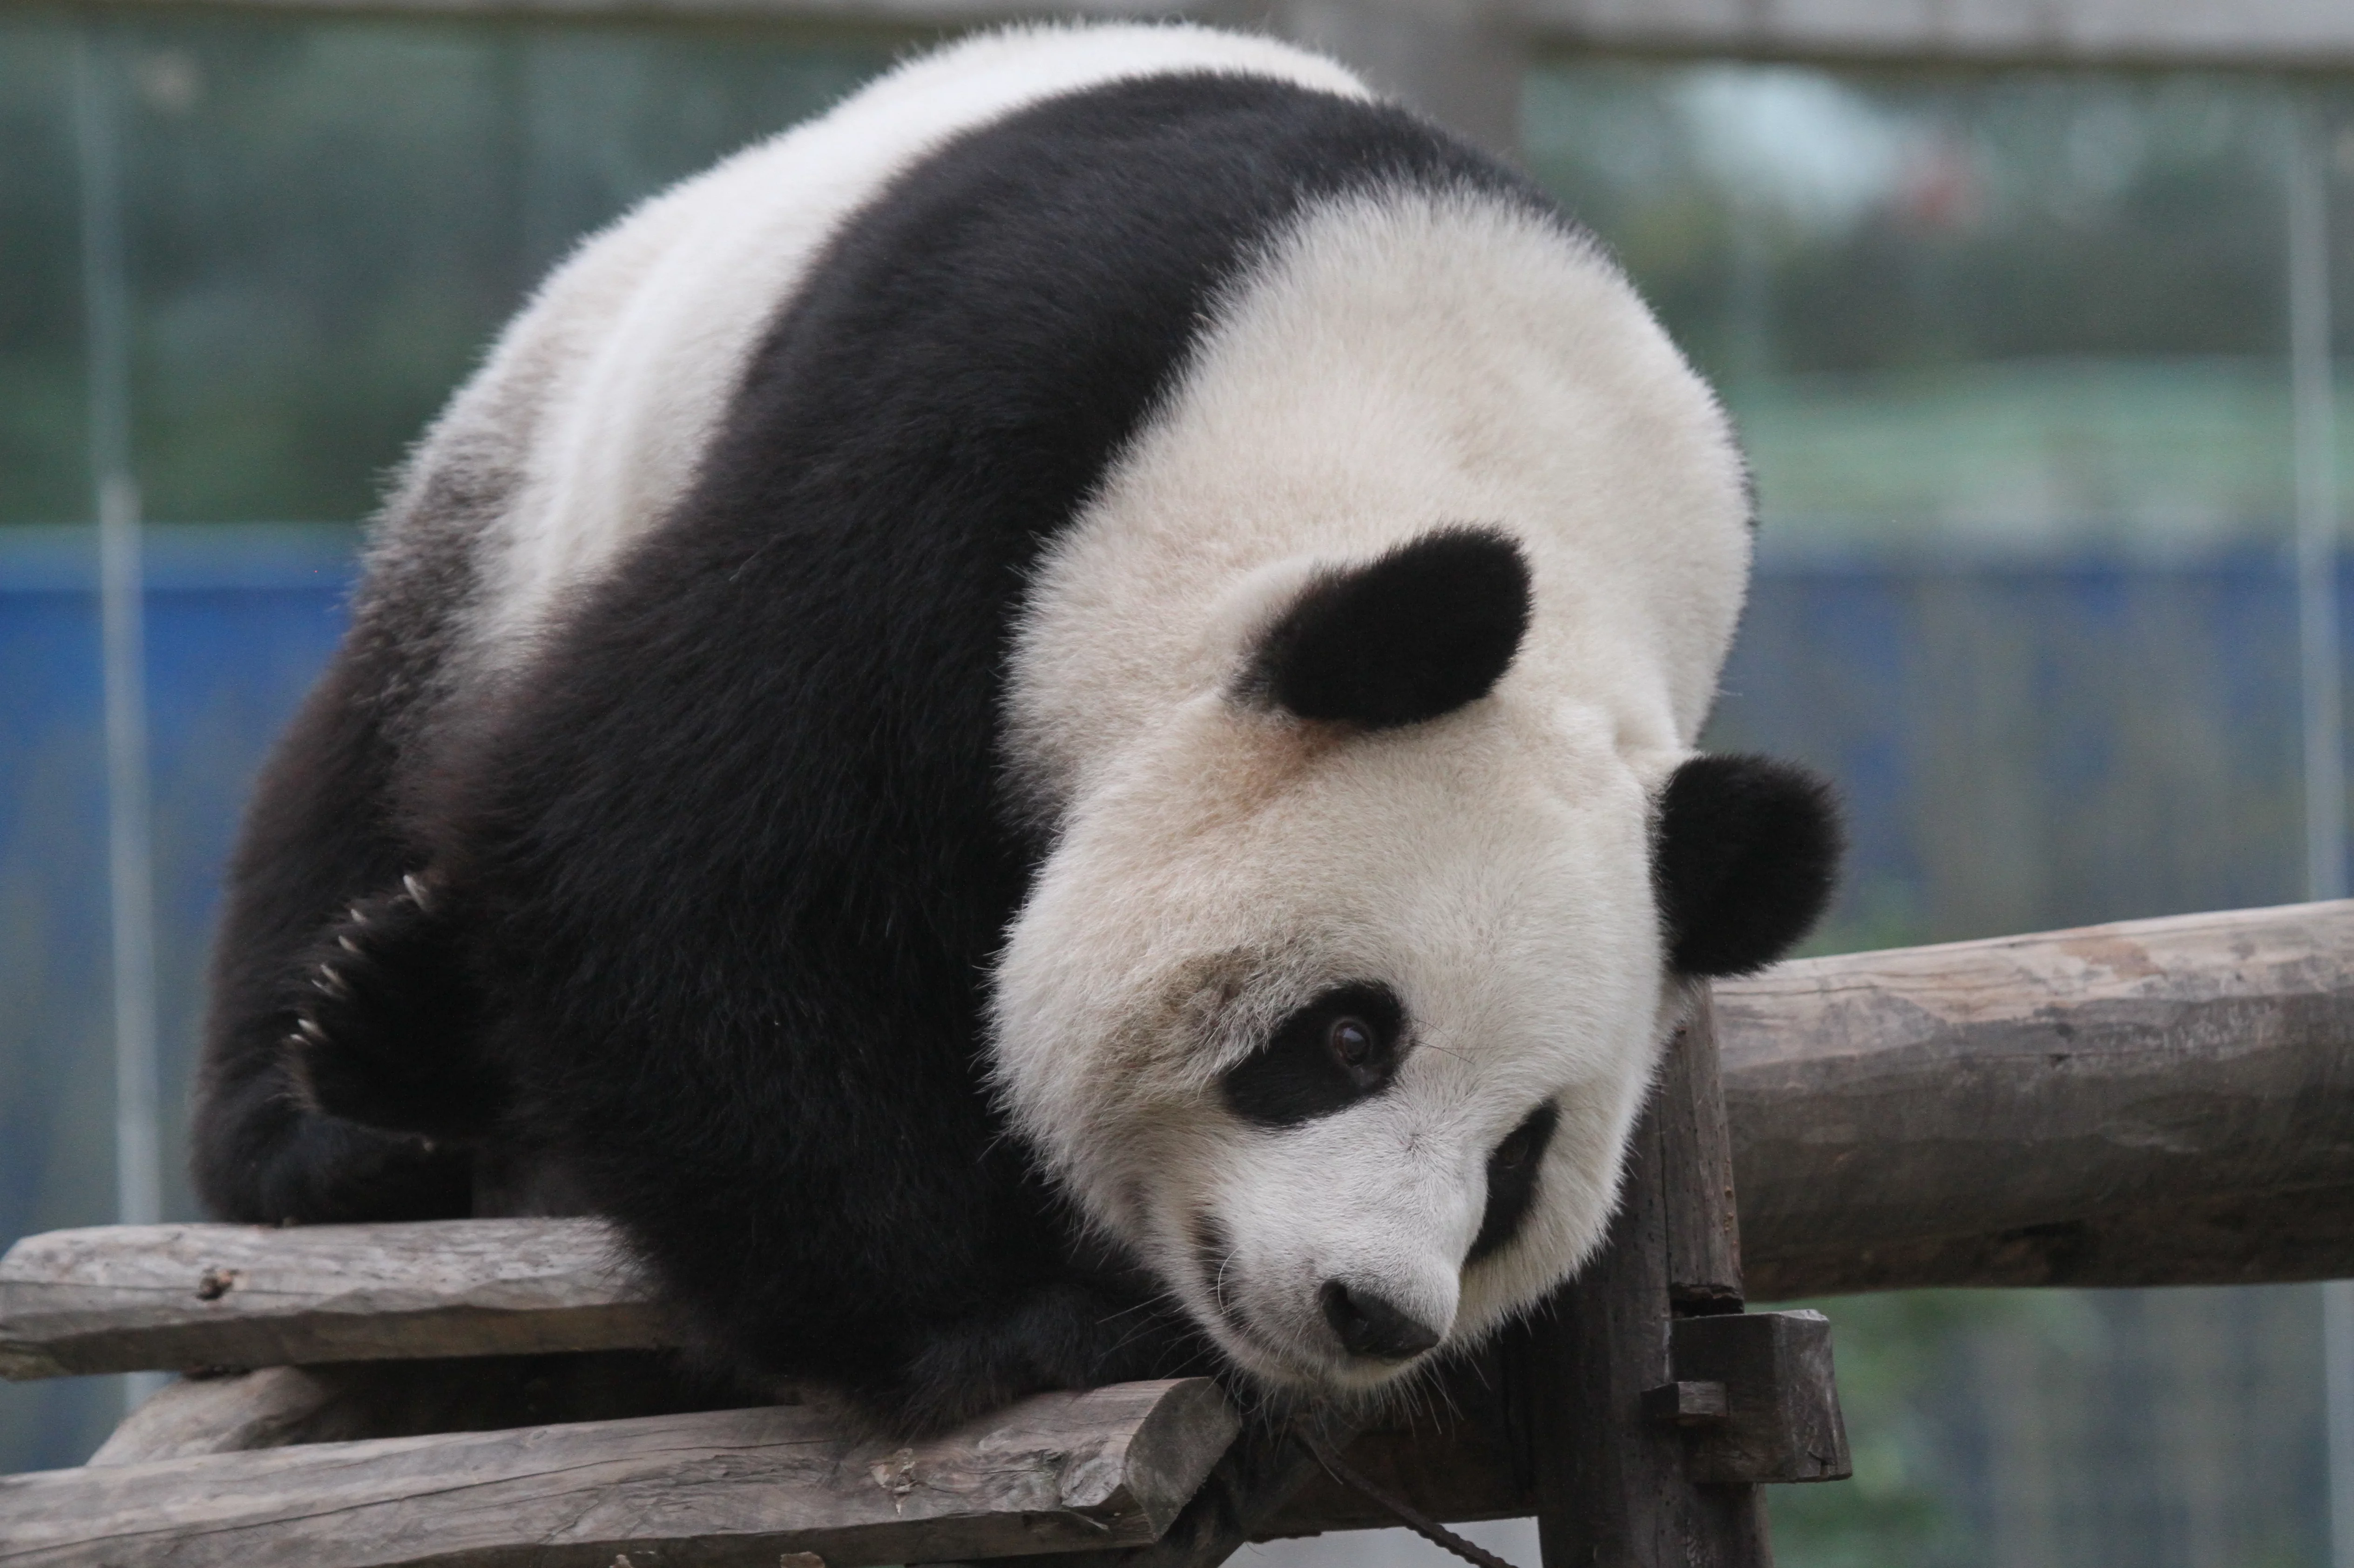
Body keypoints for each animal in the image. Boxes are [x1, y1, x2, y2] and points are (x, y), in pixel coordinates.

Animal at [191, 22, 1839, 1435]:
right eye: (1347, 1038)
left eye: (1520, 1158)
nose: (1372, 1309)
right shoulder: (988, 423)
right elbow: (660, 841)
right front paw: (1007, 1323)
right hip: (532, 476)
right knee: (357, 773)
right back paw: (354, 1076)